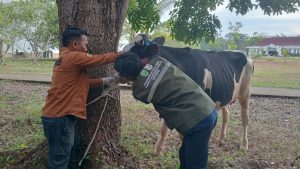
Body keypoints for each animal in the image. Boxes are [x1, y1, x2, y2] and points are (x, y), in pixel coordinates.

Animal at [123, 34, 254, 156]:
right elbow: (164, 129)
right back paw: (221, 139)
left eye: (133, 53)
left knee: (245, 119)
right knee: (226, 114)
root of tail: (244, 55)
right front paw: (158, 151)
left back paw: (244, 144)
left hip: (245, 92)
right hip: (225, 95)